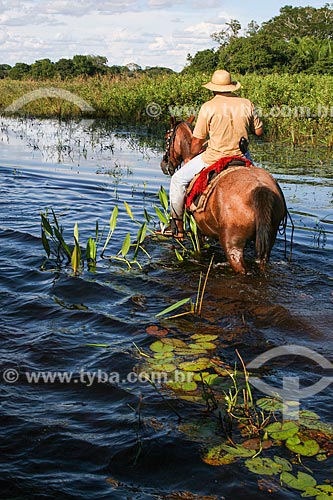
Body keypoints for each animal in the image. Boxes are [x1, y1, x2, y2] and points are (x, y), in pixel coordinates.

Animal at [160, 117, 284, 274]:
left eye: (166, 138)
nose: (164, 165)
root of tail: (260, 189)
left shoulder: (198, 227)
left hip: (232, 243)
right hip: (268, 239)